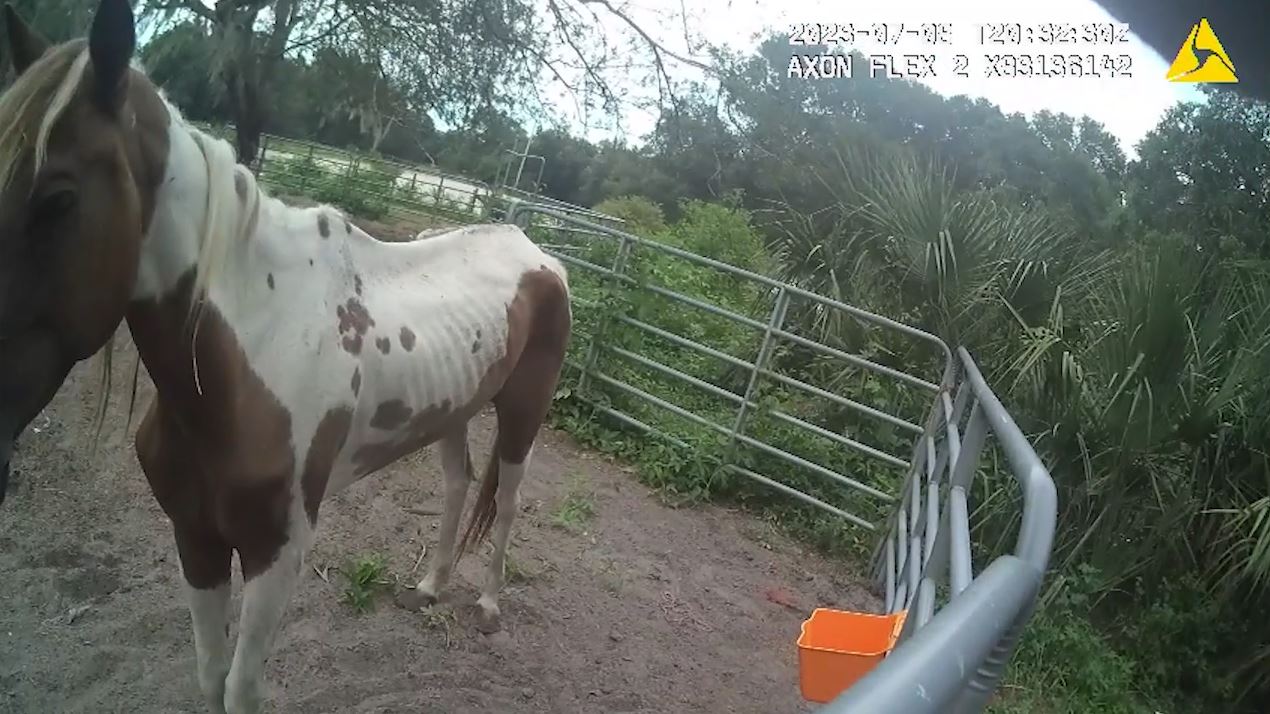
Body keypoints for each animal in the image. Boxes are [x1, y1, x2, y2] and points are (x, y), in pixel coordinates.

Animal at [0, 1, 571, 712]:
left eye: (58, 196)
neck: (246, 362)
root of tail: (538, 253)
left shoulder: (277, 555)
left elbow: (241, 689)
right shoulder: (196, 539)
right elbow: (211, 677)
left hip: (524, 411)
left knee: (510, 500)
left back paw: (489, 605)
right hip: (455, 409)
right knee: (457, 484)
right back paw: (431, 587)